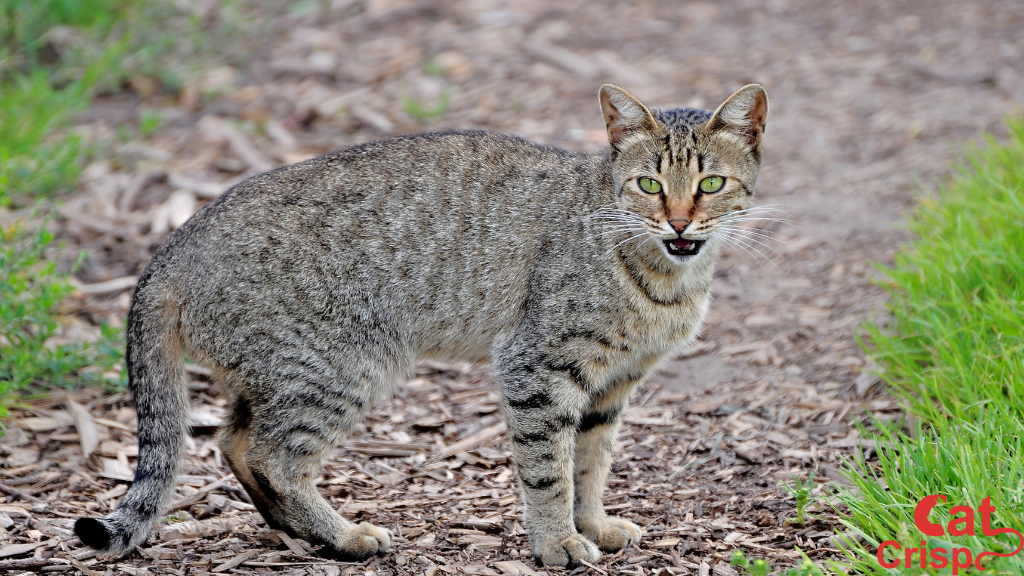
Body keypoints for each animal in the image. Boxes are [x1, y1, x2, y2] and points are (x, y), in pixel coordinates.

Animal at [74, 83, 770, 565]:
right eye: (649, 184)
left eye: (711, 183)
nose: (679, 222)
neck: (663, 281)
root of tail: (174, 242)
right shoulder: (537, 369)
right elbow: (550, 467)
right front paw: (557, 543)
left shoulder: (613, 385)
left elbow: (590, 464)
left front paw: (592, 523)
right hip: (341, 366)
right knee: (273, 454)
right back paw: (344, 535)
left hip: (277, 375)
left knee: (233, 441)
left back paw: (301, 533)